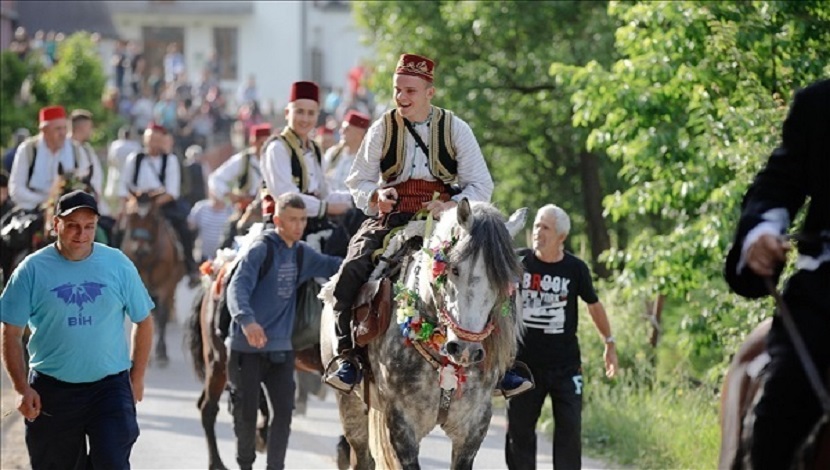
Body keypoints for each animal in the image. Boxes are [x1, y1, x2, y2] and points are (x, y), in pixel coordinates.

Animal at [120, 189, 185, 366]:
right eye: (131, 215)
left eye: (154, 217)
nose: (140, 250)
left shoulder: (166, 284)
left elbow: (161, 314)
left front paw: (162, 352)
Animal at [322, 199, 528, 470]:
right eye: (454, 269)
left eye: (503, 278)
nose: (465, 350)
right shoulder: (403, 425)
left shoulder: (473, 427)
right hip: (350, 405)